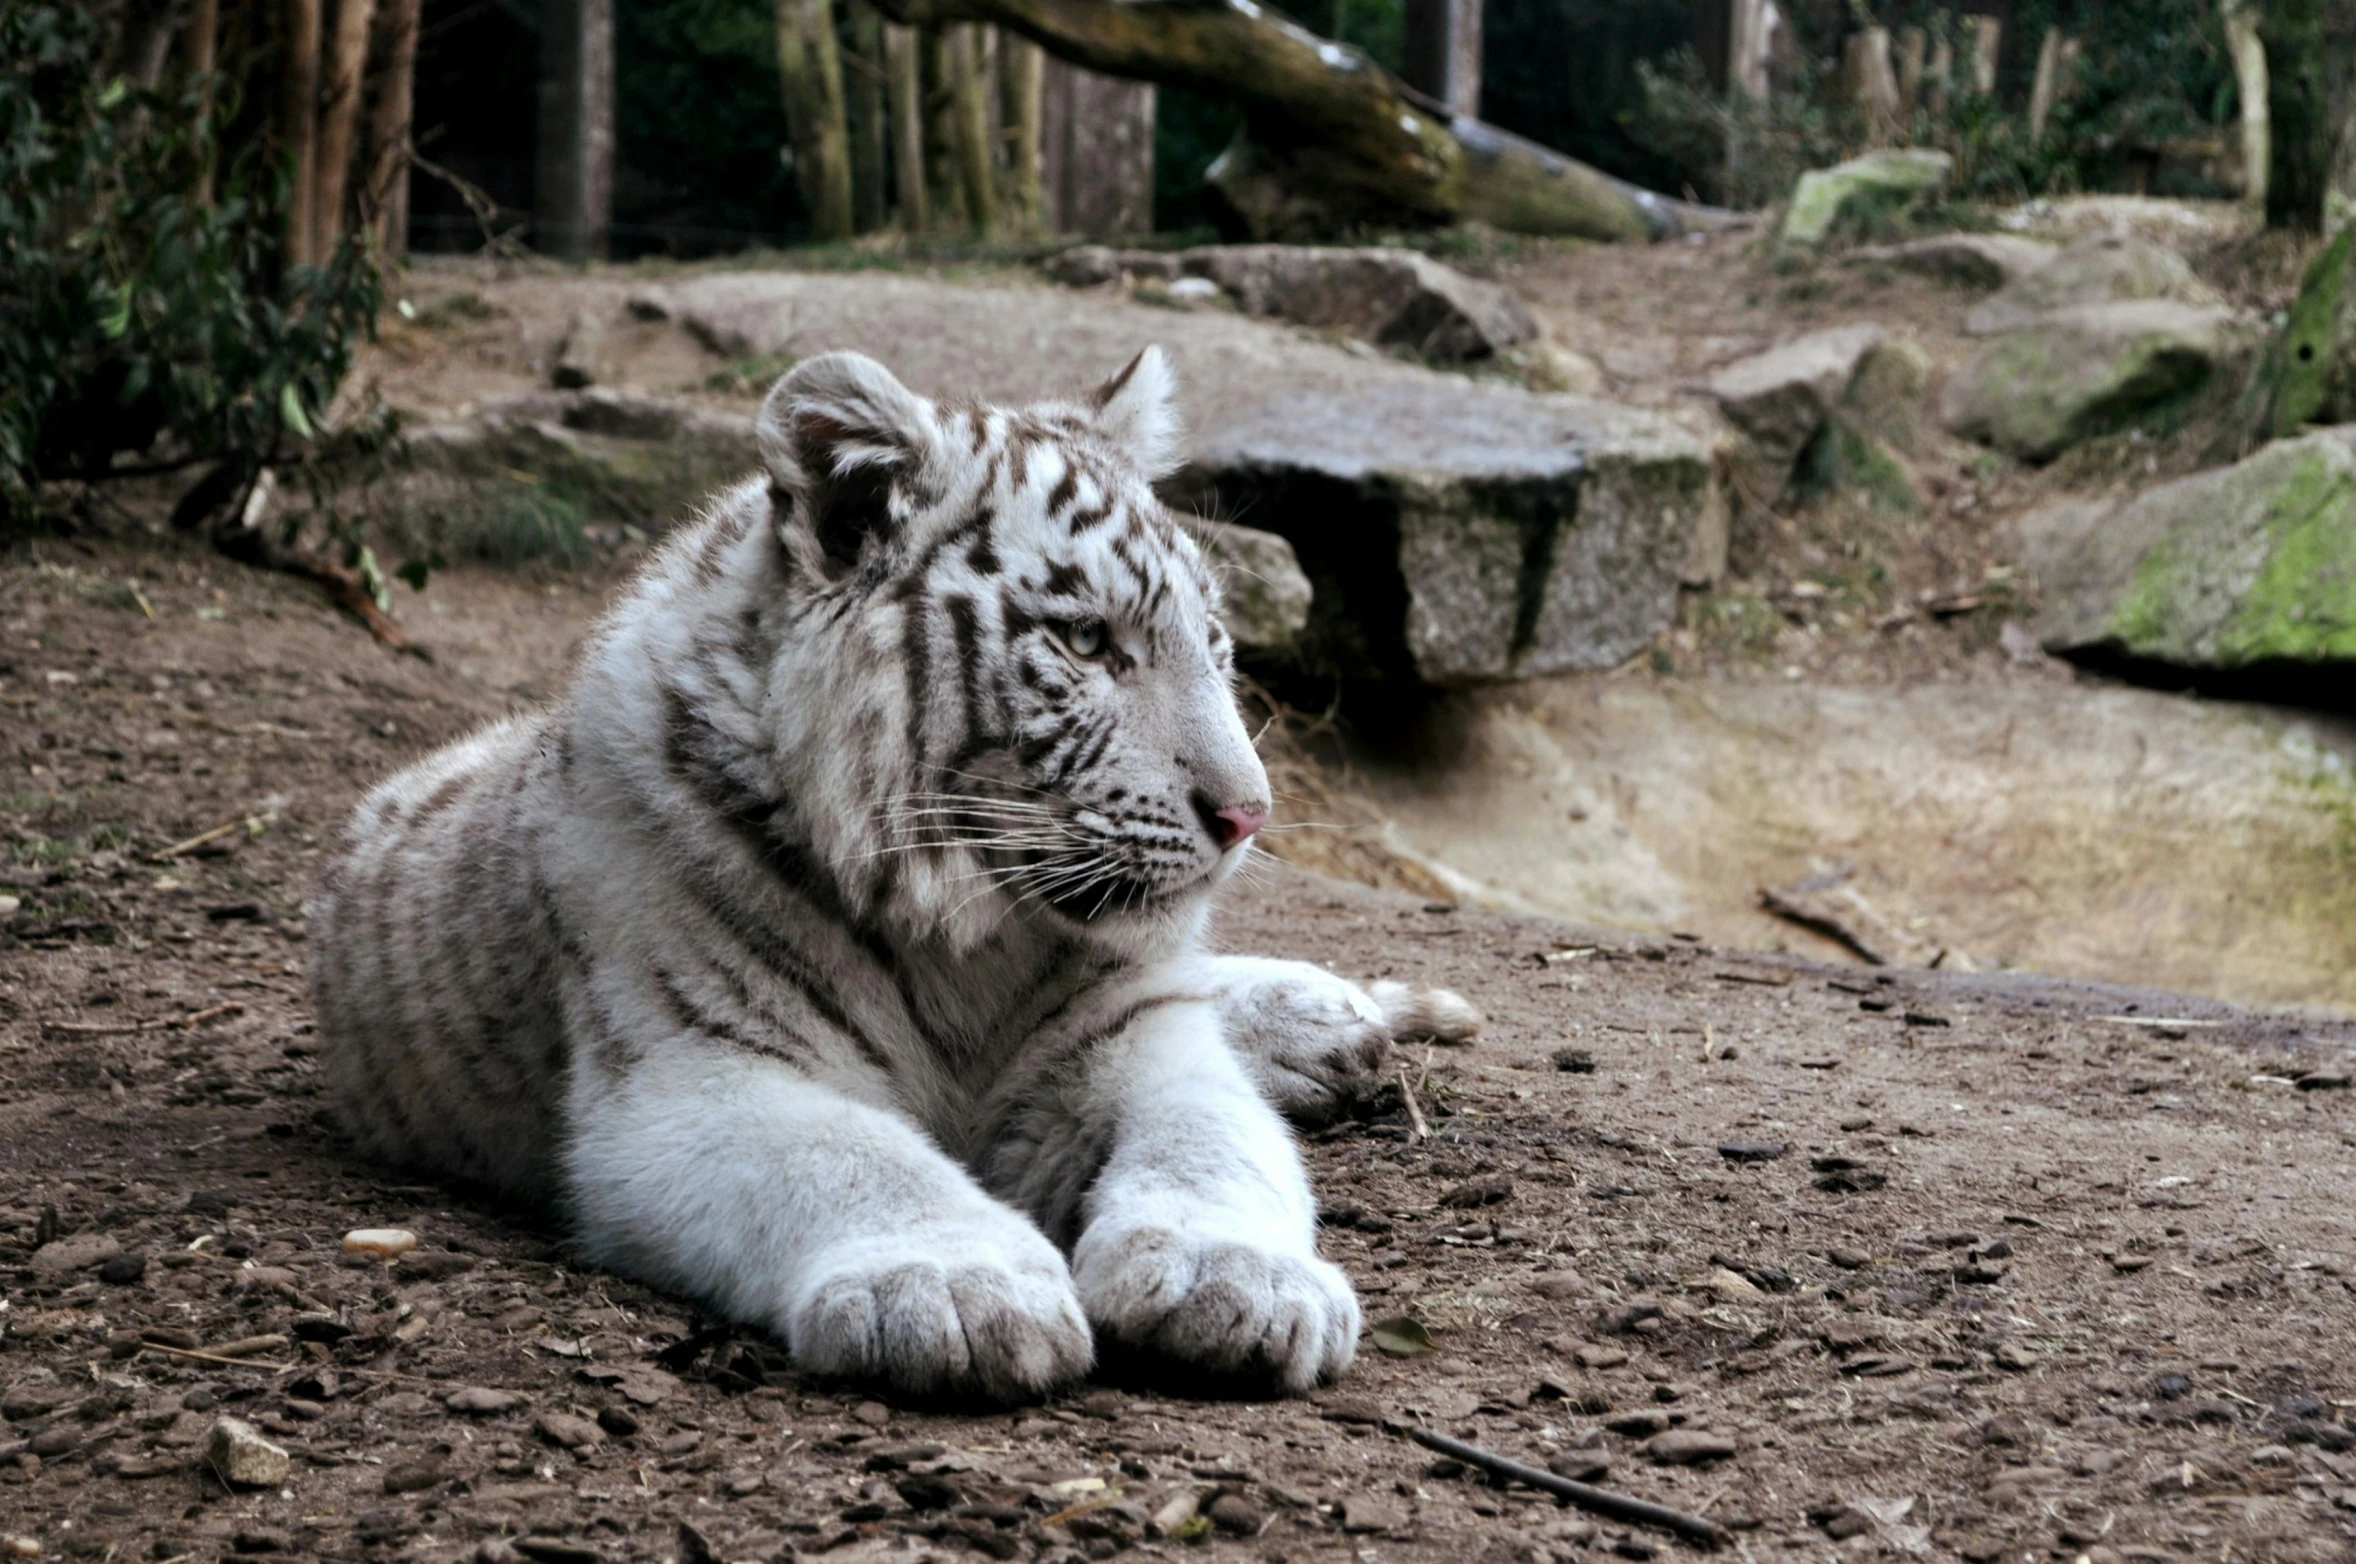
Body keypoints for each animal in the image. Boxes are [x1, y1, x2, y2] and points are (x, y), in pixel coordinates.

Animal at [308, 348, 1470, 1394]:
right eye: (1087, 641)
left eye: (1217, 644)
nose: (1246, 815)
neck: (970, 932)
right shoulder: (694, 1072)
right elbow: (854, 1158)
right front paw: (955, 1290)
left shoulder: (1134, 1032)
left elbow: (1211, 1137)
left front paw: (1236, 1280)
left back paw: (1321, 1017)